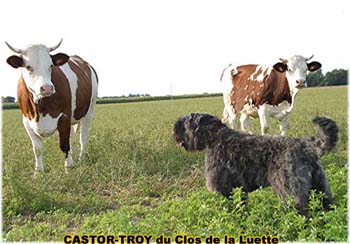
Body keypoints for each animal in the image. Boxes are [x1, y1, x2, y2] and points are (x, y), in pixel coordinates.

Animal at [5, 39, 98, 174]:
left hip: (89, 110)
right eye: (28, 67)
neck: (39, 107)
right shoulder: (27, 122)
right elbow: (37, 149)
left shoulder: (64, 117)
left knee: (83, 137)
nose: (47, 88)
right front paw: (38, 172)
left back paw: (82, 159)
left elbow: (64, 145)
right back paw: (75, 156)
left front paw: (68, 167)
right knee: (73, 137)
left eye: (51, 66)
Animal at [174, 112, 338, 214]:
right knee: (327, 204)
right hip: (320, 186)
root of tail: (306, 146)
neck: (214, 137)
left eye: (185, 123)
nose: (174, 131)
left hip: (290, 191)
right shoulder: (239, 190)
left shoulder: (223, 189)